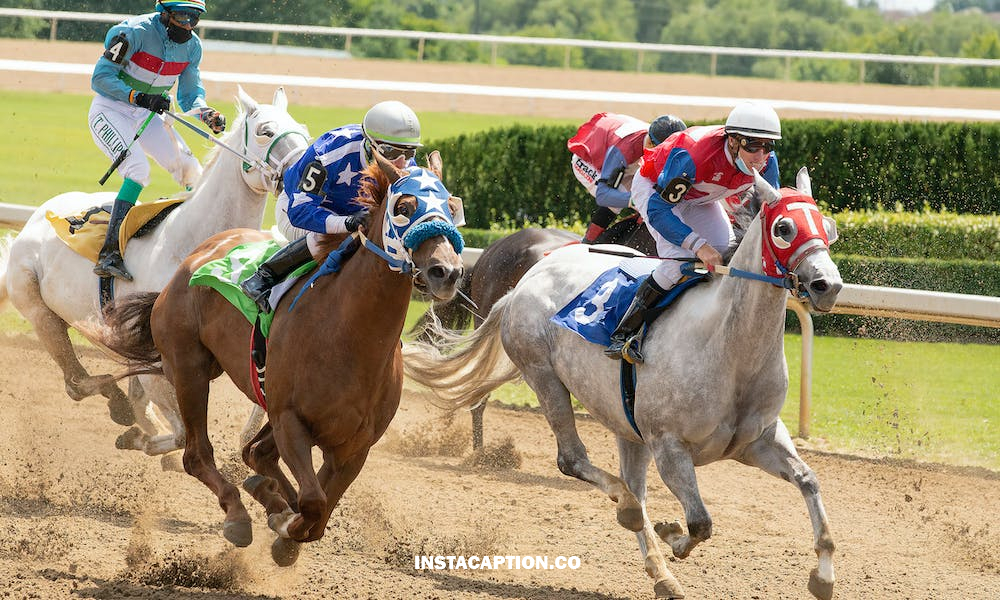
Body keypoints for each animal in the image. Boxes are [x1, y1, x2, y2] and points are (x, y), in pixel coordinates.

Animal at [0, 87, 309, 466]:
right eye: (266, 131)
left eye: (302, 128)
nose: (309, 172)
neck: (194, 244)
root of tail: (37, 217)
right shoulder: (162, 360)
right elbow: (180, 433)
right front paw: (150, 445)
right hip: (39, 308)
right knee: (76, 382)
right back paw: (117, 404)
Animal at [92, 151, 465, 565]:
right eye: (404, 207)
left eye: (451, 207)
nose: (446, 272)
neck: (350, 337)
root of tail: (196, 256)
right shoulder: (290, 420)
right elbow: (314, 501)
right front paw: (283, 522)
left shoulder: (355, 447)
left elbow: (320, 511)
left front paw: (283, 523)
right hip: (190, 370)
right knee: (197, 454)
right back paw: (238, 515)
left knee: (254, 453)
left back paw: (264, 495)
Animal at [402, 168, 842, 599]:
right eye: (784, 228)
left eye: (828, 226)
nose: (828, 285)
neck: (729, 348)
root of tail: (523, 284)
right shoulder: (669, 446)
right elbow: (700, 522)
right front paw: (672, 533)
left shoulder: (758, 441)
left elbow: (809, 481)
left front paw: (823, 577)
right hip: (543, 375)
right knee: (579, 464)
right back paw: (626, 511)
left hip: (625, 422)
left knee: (633, 487)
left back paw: (661, 574)